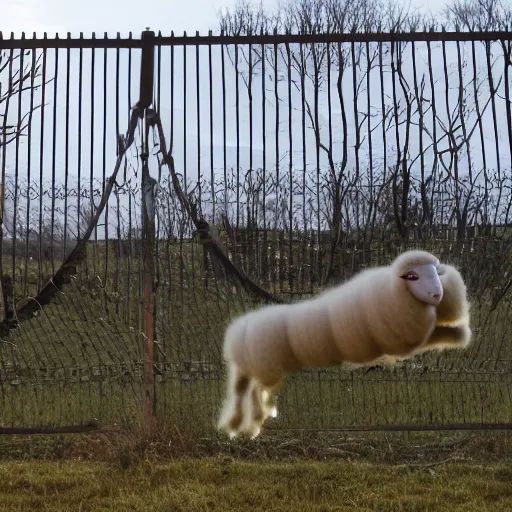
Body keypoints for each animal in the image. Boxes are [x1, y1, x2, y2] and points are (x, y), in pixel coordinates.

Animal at [216, 250, 472, 438]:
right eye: (412, 276)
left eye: (437, 273)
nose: (437, 295)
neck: (394, 292)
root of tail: (239, 329)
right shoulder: (401, 342)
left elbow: (455, 333)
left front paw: (460, 333)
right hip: (266, 367)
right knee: (254, 390)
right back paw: (253, 420)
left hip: (250, 367)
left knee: (242, 389)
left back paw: (237, 424)